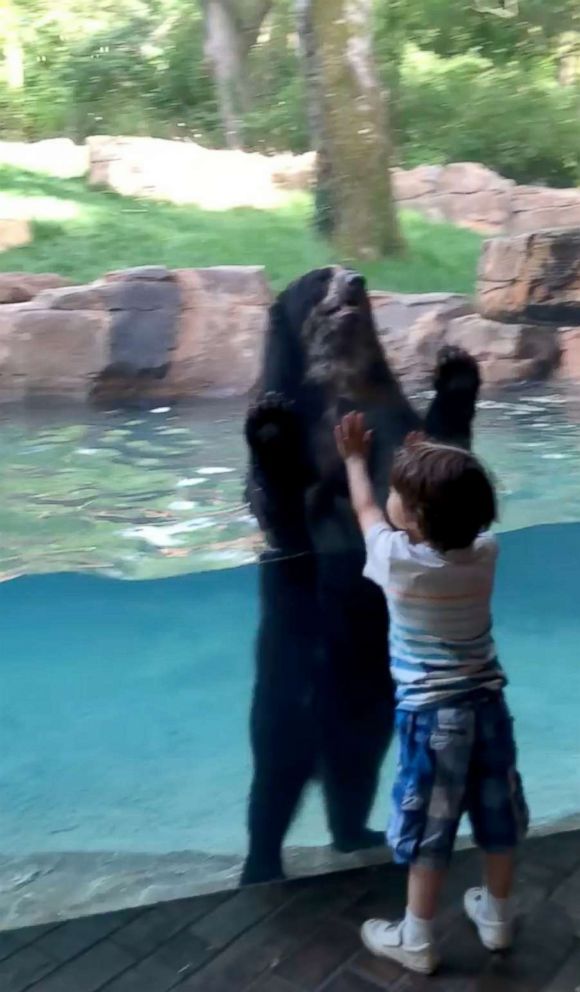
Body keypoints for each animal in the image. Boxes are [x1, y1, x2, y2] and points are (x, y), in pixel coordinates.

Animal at [240, 266, 480, 884]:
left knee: (351, 774)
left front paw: (455, 369)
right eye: (318, 279)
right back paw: (260, 869)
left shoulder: (397, 426)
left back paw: (359, 835)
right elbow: (281, 516)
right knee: (273, 784)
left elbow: (442, 455)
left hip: (370, 712)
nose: (353, 277)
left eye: (348, 275)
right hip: (287, 694)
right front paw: (270, 427)